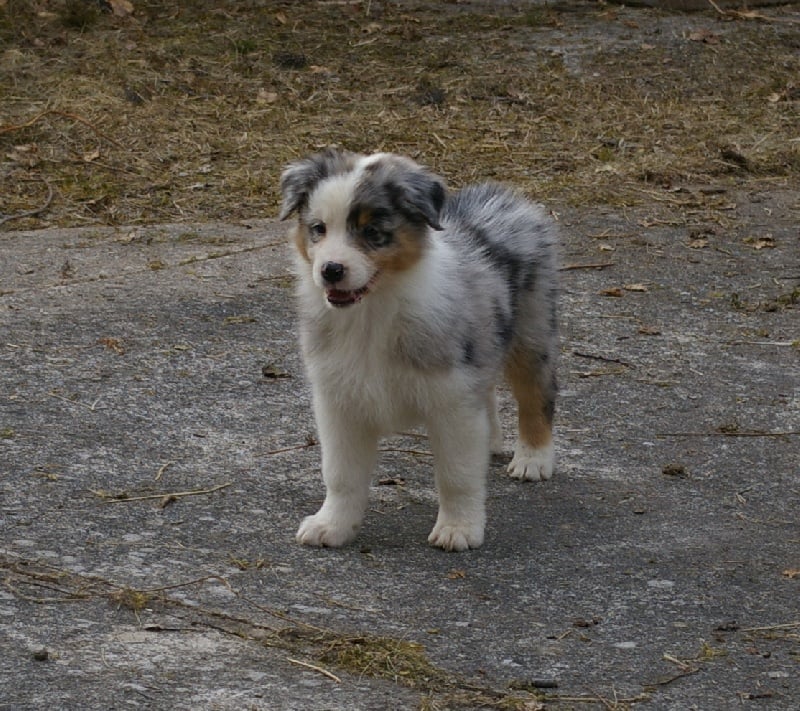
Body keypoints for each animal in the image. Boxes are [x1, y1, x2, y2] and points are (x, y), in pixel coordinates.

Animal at [278, 149, 559, 551]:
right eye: (318, 228)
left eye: (372, 232)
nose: (330, 270)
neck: (374, 313)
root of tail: (504, 195)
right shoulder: (338, 400)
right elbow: (340, 473)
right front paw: (331, 525)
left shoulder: (451, 399)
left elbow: (457, 474)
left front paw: (458, 529)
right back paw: (491, 441)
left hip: (531, 335)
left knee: (537, 395)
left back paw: (533, 459)